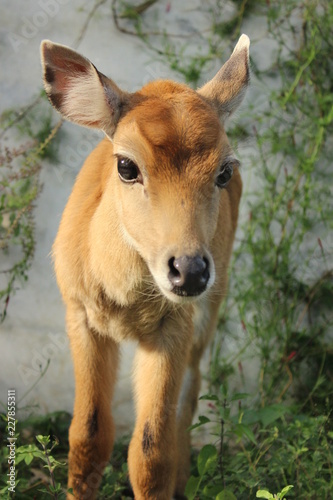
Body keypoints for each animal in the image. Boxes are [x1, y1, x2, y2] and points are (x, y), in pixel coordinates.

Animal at [40, 33, 249, 498]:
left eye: (224, 171)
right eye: (126, 165)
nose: (189, 270)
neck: (123, 302)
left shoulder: (176, 325)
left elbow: (151, 452)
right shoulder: (78, 312)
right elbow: (87, 436)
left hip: (213, 304)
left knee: (190, 393)